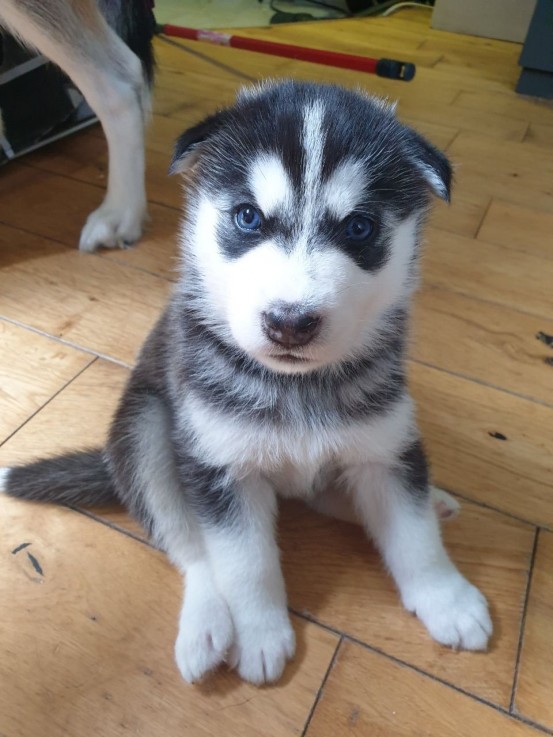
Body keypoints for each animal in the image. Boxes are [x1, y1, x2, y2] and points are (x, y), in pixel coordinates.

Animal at [1, 80, 492, 684]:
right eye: (248, 217)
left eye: (360, 227)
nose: (290, 322)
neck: (295, 385)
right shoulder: (220, 465)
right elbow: (243, 561)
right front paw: (259, 632)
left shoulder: (385, 447)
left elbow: (414, 534)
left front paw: (447, 598)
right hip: (146, 430)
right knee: (188, 546)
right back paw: (206, 623)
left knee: (344, 494)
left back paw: (429, 501)